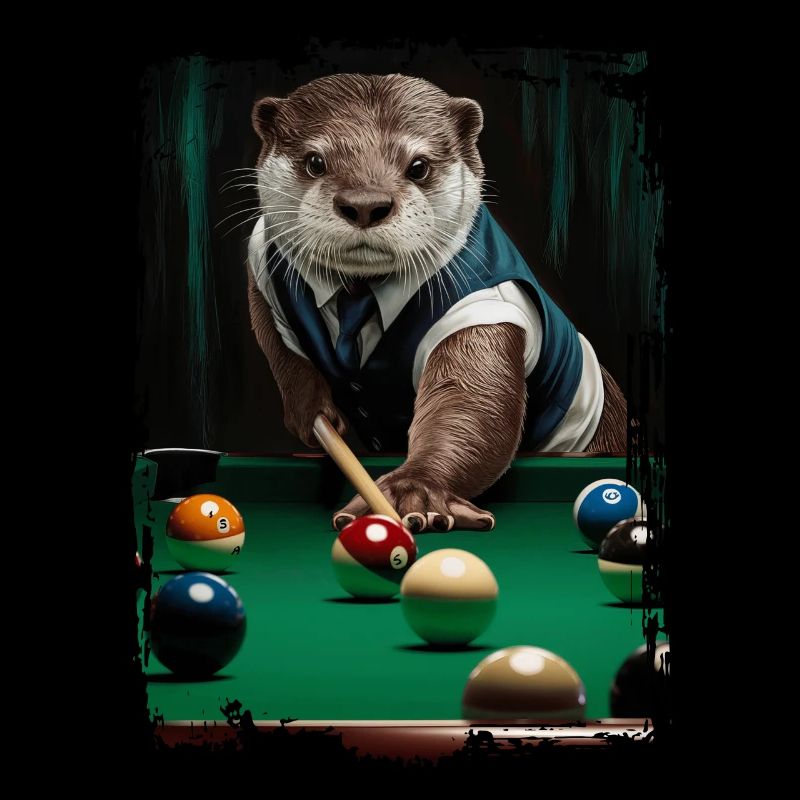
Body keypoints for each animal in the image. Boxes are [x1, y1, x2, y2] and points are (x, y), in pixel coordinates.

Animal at [246, 73, 627, 534]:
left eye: (419, 167)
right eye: (315, 162)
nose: (366, 204)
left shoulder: (480, 306)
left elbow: (468, 401)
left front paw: (415, 486)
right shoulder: (263, 256)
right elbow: (281, 348)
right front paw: (310, 412)